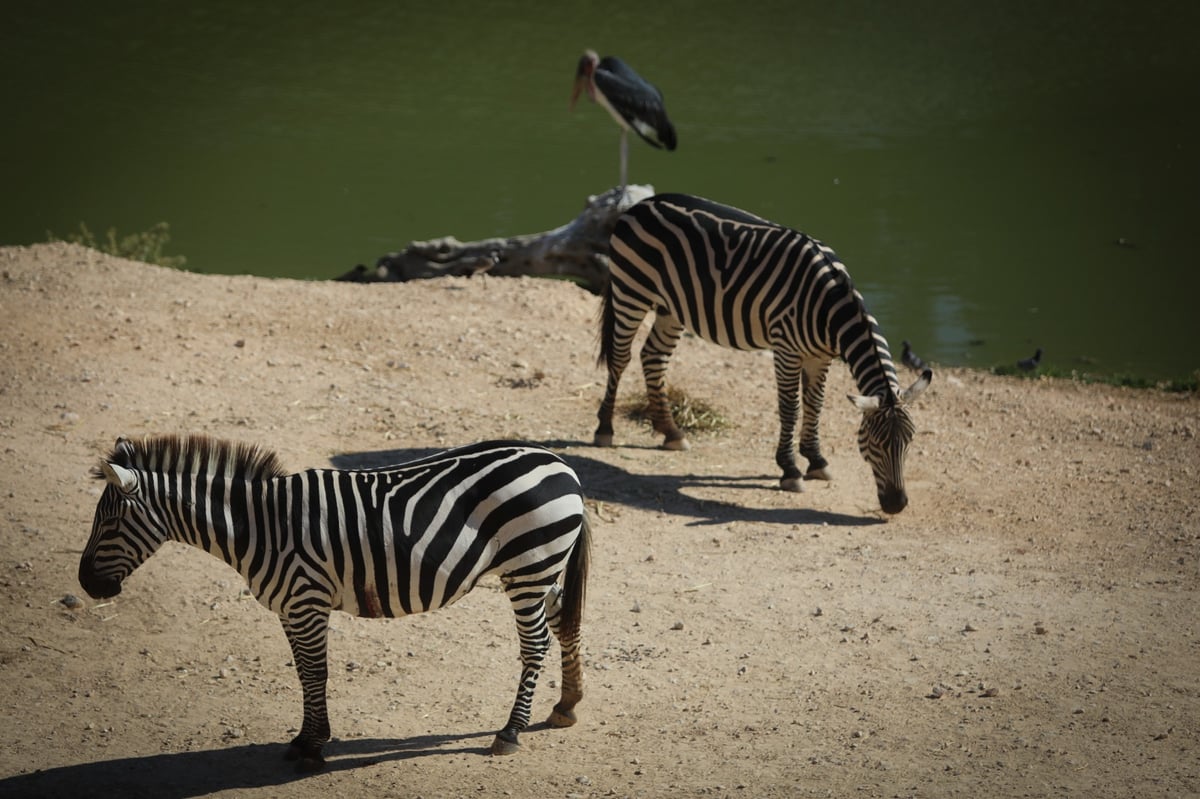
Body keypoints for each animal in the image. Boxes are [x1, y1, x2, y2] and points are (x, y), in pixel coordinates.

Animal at [77, 431, 592, 767]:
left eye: (109, 523)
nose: (85, 585)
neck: (259, 526)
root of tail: (560, 463)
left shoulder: (306, 601)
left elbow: (314, 672)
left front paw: (312, 746)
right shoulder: (290, 608)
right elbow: (304, 673)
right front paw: (307, 739)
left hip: (528, 567)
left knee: (535, 644)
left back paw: (510, 732)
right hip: (544, 569)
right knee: (565, 622)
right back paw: (566, 706)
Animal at [595, 194, 931, 515]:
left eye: (910, 440)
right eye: (875, 442)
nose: (896, 505)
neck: (831, 305)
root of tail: (640, 204)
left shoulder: (820, 356)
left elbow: (815, 405)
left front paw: (816, 460)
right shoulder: (786, 350)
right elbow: (791, 409)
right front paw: (790, 470)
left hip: (671, 307)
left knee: (654, 356)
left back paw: (670, 431)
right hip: (631, 291)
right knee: (620, 357)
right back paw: (605, 429)